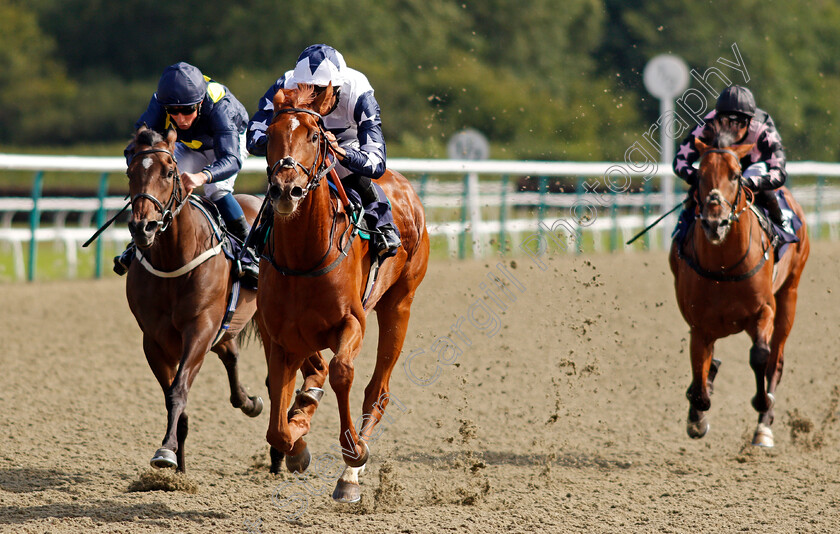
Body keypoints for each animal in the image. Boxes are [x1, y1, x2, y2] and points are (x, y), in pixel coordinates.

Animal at [123, 125, 262, 474]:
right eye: (130, 171)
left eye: (169, 172)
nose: (143, 227)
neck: (174, 257)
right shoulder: (154, 339)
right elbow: (174, 397)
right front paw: (177, 466)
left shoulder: (199, 329)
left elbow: (178, 390)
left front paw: (165, 452)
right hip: (226, 324)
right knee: (231, 354)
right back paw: (249, 403)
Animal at [256, 82, 430, 502]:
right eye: (270, 135)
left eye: (314, 136)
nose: (286, 190)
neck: (304, 258)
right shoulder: (279, 336)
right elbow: (278, 426)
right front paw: (298, 442)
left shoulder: (353, 322)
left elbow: (341, 372)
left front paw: (353, 454)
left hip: (399, 304)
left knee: (377, 391)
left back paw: (351, 474)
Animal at [668, 120, 808, 448]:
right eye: (700, 174)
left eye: (735, 174)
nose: (715, 222)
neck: (724, 266)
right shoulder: (700, 325)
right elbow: (699, 374)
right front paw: (697, 417)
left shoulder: (764, 310)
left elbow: (760, 357)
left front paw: (762, 403)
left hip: (789, 295)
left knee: (776, 360)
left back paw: (764, 427)